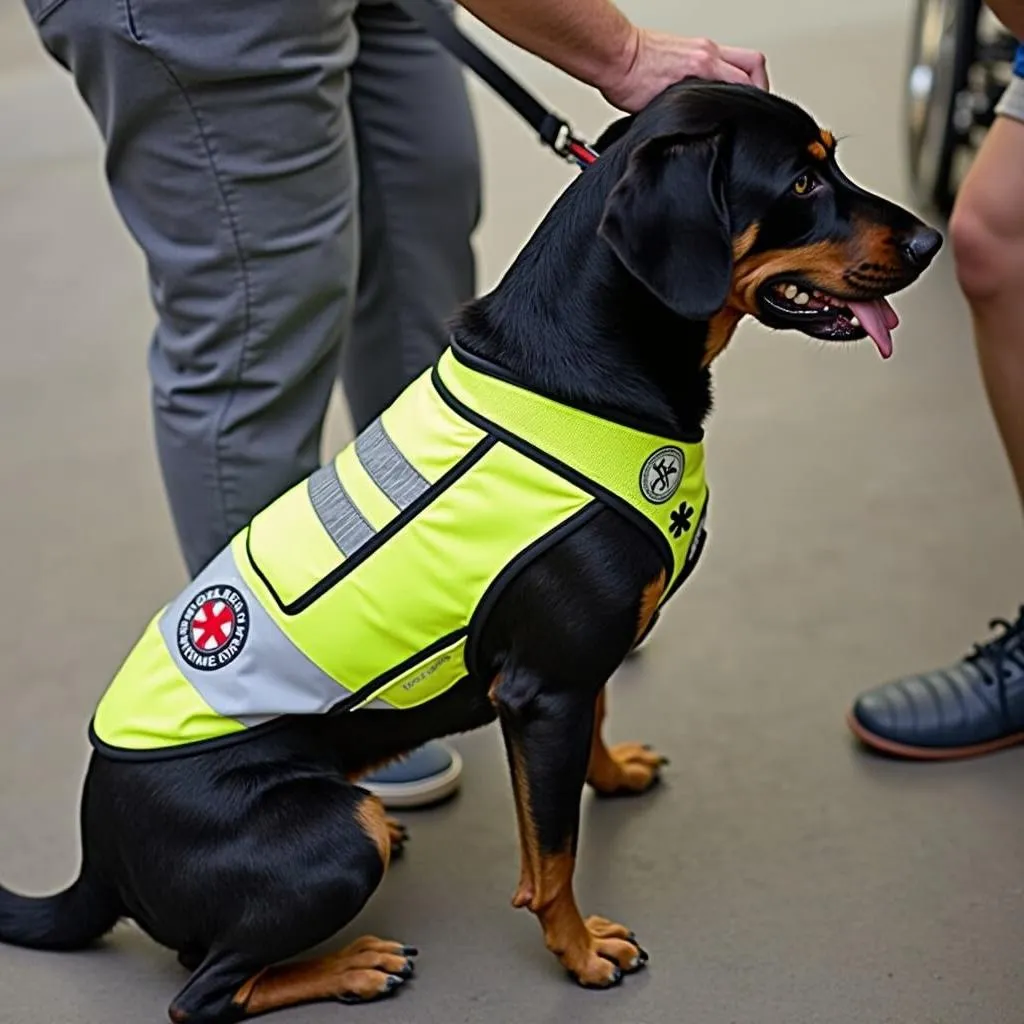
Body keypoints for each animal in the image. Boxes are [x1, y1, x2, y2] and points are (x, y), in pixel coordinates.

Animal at [0, 83, 937, 1019]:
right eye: (801, 184)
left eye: (832, 159)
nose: (930, 240)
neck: (591, 372)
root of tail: (94, 856)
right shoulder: (544, 689)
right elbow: (552, 855)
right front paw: (579, 951)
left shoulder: (571, 672)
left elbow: (593, 734)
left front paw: (612, 774)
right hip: (338, 838)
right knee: (203, 990)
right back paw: (355, 964)